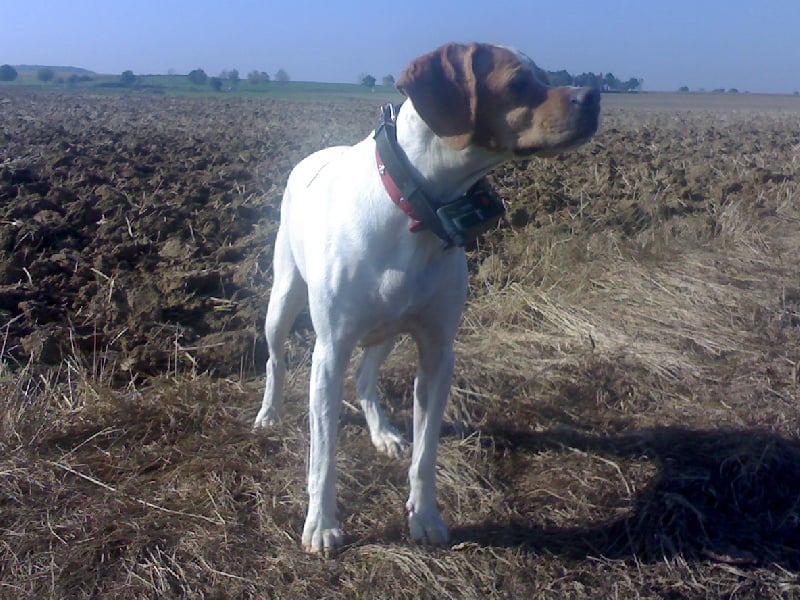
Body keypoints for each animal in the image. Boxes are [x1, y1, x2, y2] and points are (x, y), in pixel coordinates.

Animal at [253, 43, 596, 556]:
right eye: (518, 83)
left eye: (546, 76)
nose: (593, 97)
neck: (413, 209)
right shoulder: (329, 351)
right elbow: (324, 455)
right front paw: (321, 525)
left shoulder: (436, 352)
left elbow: (426, 451)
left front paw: (426, 516)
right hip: (284, 299)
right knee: (275, 359)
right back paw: (269, 413)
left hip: (387, 331)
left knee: (365, 377)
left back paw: (383, 432)